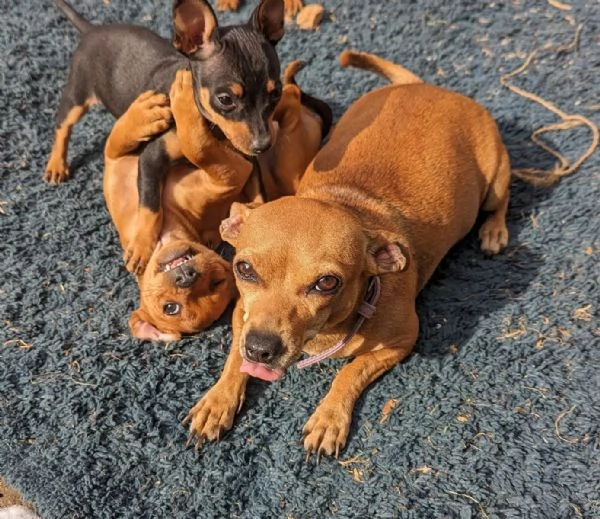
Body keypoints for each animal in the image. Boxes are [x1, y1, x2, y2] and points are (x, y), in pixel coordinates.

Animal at [45, 0, 284, 276]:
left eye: (276, 93)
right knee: (62, 126)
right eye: (225, 99)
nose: (263, 145)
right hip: (78, 94)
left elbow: (258, 194)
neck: (212, 129)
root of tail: (92, 30)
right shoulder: (151, 159)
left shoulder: (248, 159)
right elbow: (150, 206)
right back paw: (56, 164)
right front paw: (141, 246)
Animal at [102, 64, 328, 342]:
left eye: (215, 283)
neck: (170, 230)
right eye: (171, 308)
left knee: (291, 98)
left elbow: (120, 140)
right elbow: (193, 148)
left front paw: (154, 110)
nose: (186, 276)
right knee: (293, 101)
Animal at [184, 48, 510, 456]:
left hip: (496, 179)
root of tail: (423, 85)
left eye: (327, 283)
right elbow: (233, 358)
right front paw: (218, 401)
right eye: (244, 269)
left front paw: (329, 419)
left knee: (501, 202)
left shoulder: (403, 340)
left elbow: (350, 371)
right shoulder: (242, 316)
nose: (261, 349)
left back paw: (494, 231)